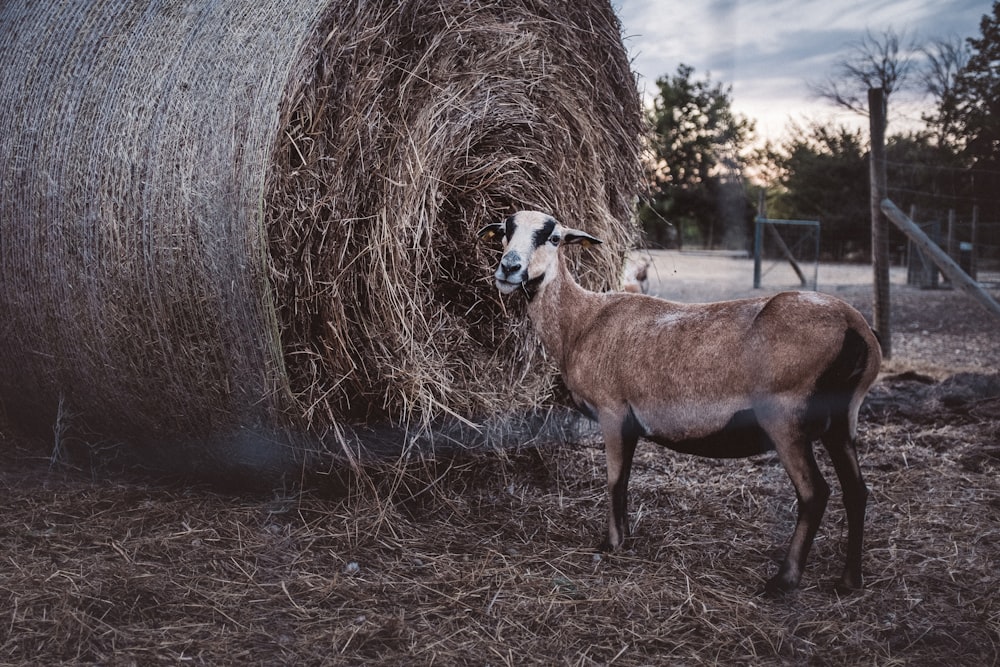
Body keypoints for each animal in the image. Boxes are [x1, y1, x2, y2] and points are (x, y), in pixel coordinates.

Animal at [480, 210, 880, 596]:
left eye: (553, 237)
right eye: (505, 230)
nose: (509, 268)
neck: (581, 322)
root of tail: (856, 327)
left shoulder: (612, 410)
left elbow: (613, 481)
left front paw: (611, 544)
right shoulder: (631, 423)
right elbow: (625, 480)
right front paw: (626, 536)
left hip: (785, 418)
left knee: (815, 493)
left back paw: (783, 581)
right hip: (841, 419)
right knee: (856, 491)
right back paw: (849, 581)